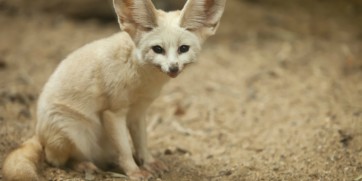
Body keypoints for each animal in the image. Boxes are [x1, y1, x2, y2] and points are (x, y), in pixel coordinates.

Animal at [2, 0, 223, 180]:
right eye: (158, 49)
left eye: (183, 49)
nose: (173, 68)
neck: (142, 79)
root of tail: (38, 132)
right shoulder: (114, 113)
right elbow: (124, 149)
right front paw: (134, 172)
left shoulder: (138, 112)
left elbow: (142, 143)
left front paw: (148, 162)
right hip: (75, 131)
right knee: (56, 160)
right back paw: (84, 166)